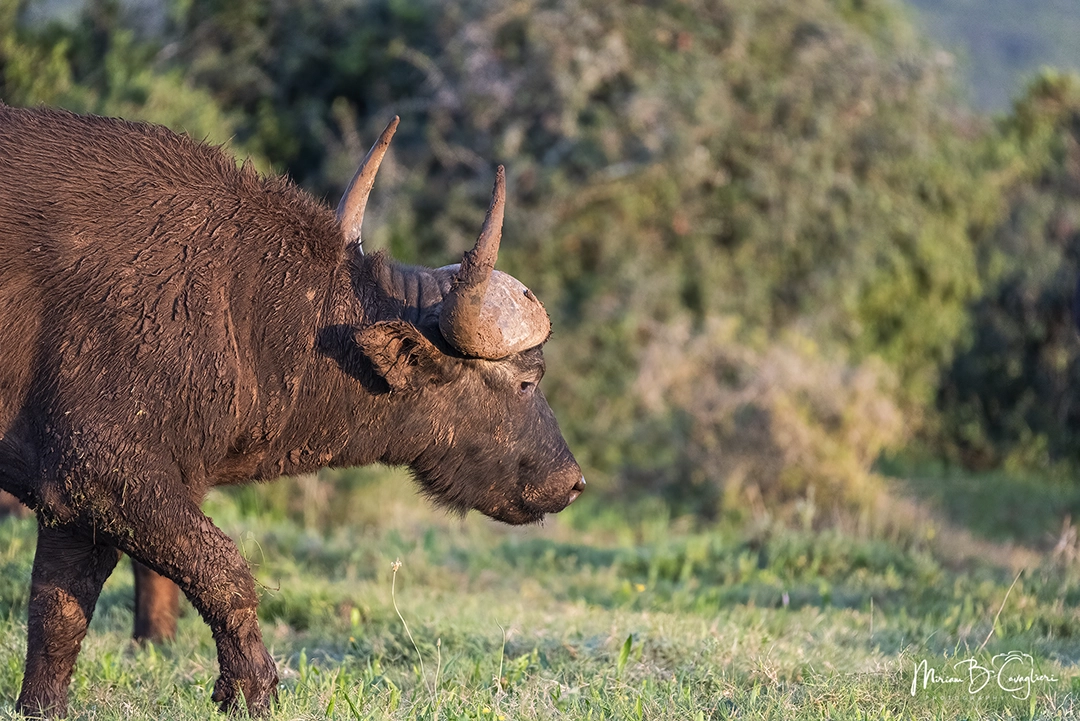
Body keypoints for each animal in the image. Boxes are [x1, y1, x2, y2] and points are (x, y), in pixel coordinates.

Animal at [0, 105, 583, 716]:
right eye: (527, 380)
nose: (571, 482)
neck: (239, 302)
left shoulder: (74, 505)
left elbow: (58, 614)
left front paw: (40, 706)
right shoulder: (104, 472)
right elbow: (224, 568)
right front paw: (250, 689)